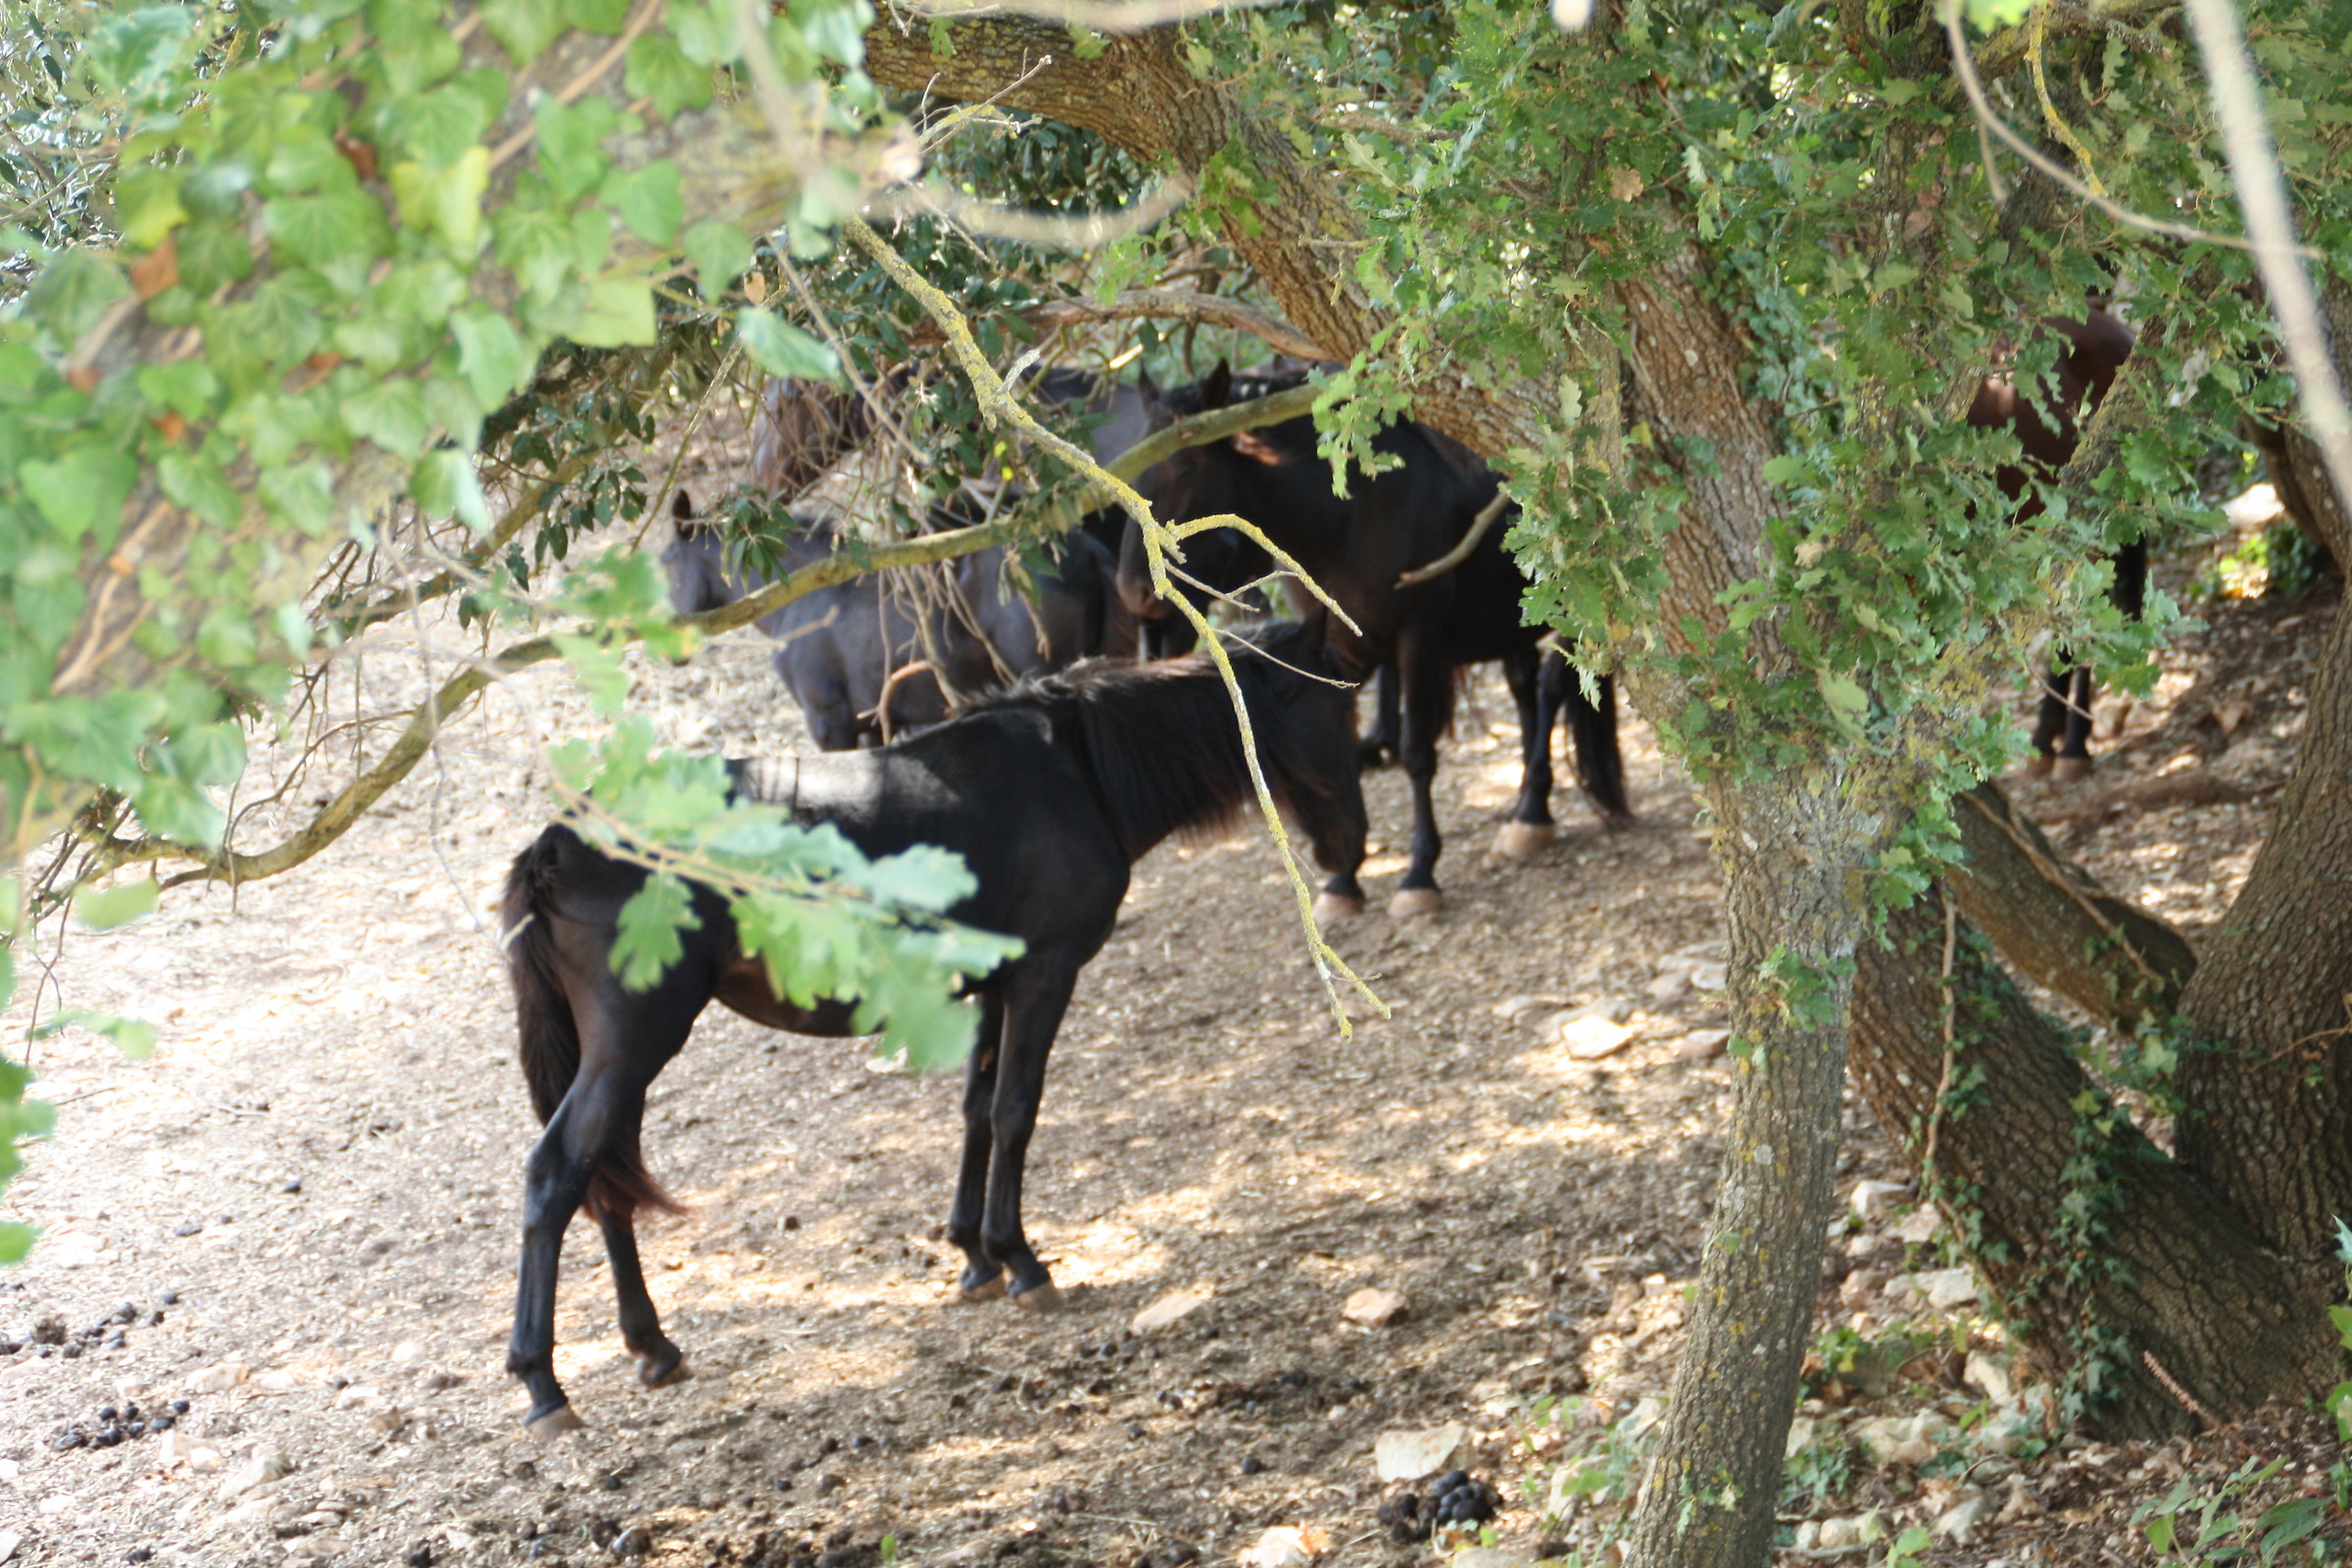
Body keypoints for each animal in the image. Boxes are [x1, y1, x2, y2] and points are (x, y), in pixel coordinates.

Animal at [500, 620, 1369, 1436]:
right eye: (1339, 706)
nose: (1352, 847)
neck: (1076, 770)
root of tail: (558, 843)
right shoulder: (1045, 976)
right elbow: (1016, 1110)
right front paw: (1019, 1260)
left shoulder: (994, 989)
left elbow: (977, 1110)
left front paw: (973, 1256)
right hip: (634, 1045)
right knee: (558, 1173)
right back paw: (544, 1385)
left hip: (618, 1056)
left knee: (604, 1183)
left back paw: (652, 1347)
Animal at [663, 490, 1136, 749]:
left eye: (665, 565)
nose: (671, 651)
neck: (804, 595)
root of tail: (1085, 550)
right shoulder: (873, 723)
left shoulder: (828, 723)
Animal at [1116, 362, 1629, 918]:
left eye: (1187, 466)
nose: (1132, 588)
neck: (1350, 520)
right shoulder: (1333, 653)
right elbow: (1337, 745)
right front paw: (1343, 879)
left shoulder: (1418, 646)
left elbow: (1416, 753)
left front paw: (1419, 872)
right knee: (1524, 691)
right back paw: (1523, 812)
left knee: (1551, 689)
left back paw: (1532, 808)